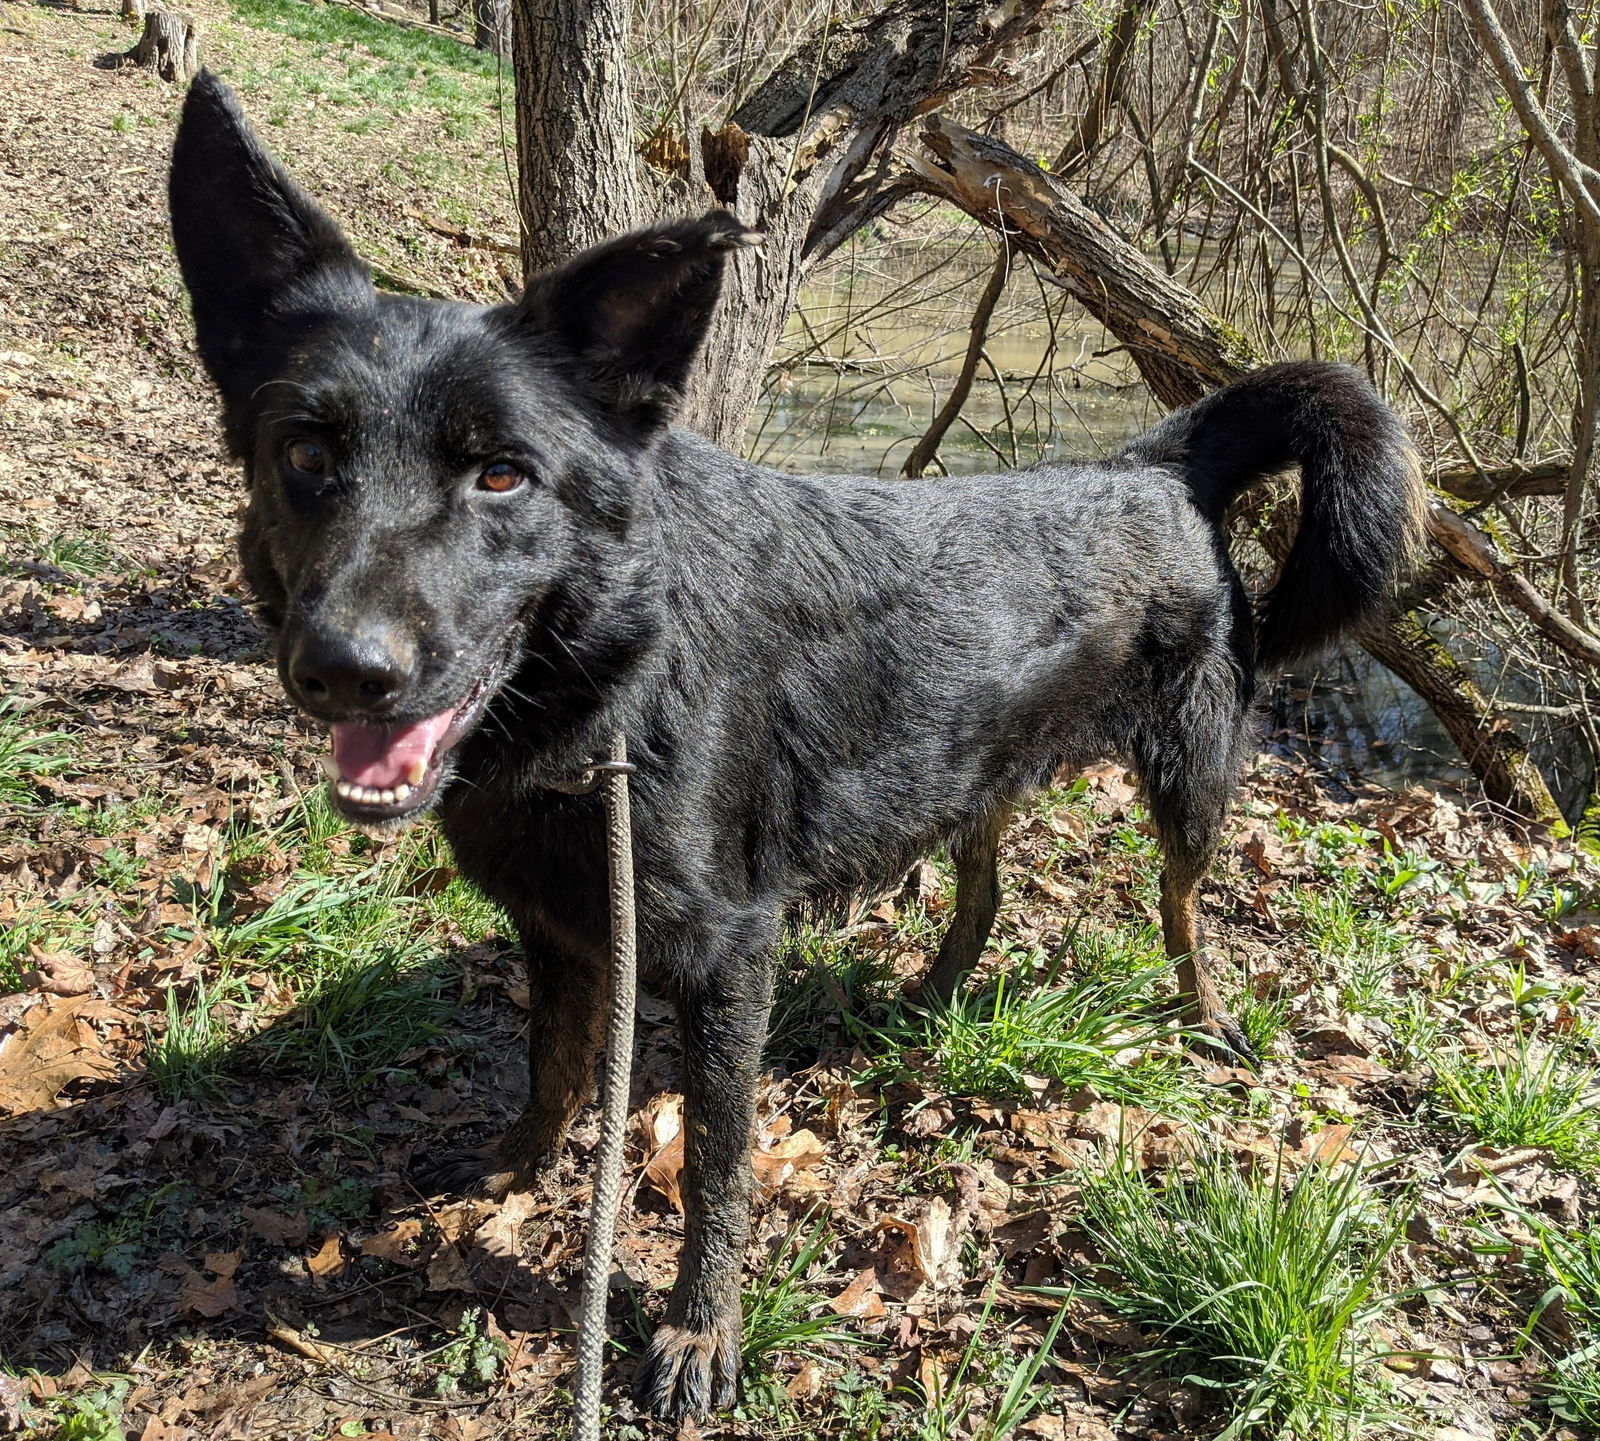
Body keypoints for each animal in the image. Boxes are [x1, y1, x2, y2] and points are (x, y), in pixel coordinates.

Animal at [168, 73, 1420, 1420]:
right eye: (306, 453)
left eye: (502, 475)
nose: (346, 667)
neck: (613, 685)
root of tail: (1157, 462)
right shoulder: (563, 927)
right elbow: (552, 1061)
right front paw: (519, 1163)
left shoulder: (727, 957)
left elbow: (717, 1167)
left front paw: (697, 1330)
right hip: (964, 766)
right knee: (984, 889)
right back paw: (931, 994)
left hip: (1189, 771)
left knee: (1182, 905)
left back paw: (1205, 1014)